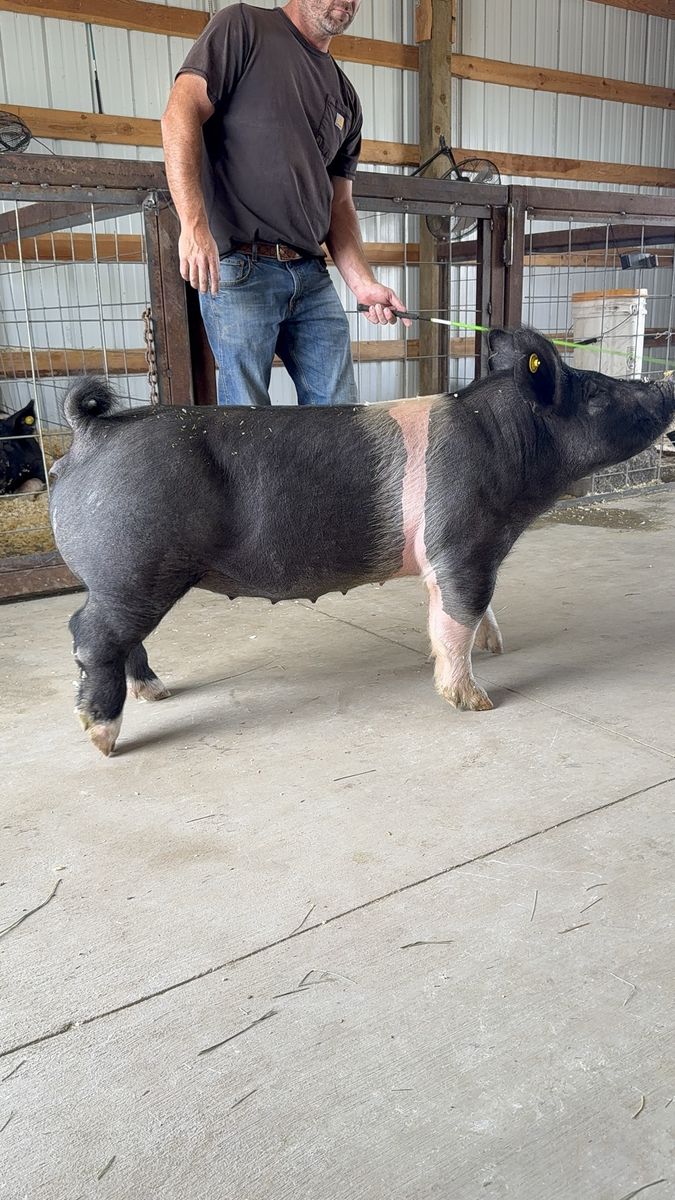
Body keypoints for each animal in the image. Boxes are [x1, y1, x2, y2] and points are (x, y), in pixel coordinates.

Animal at [49, 327, 675, 756]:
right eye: (596, 394)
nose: (663, 384)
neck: (508, 445)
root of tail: (91, 432)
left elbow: (471, 609)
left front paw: (498, 646)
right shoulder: (462, 540)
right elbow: (458, 615)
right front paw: (477, 701)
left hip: (129, 579)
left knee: (120, 638)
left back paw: (156, 693)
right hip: (134, 566)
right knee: (89, 634)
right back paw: (105, 739)